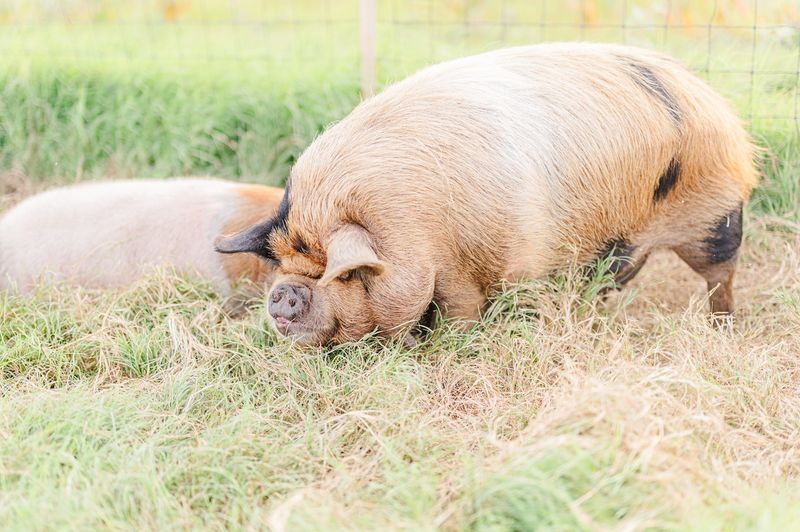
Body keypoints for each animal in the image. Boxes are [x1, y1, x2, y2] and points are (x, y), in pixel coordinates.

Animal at [215, 43, 757, 345]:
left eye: (347, 273)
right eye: (282, 264)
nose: (284, 293)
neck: (422, 229)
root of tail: (712, 99)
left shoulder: (483, 265)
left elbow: (462, 309)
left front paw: (451, 344)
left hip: (715, 212)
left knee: (721, 274)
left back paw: (723, 329)